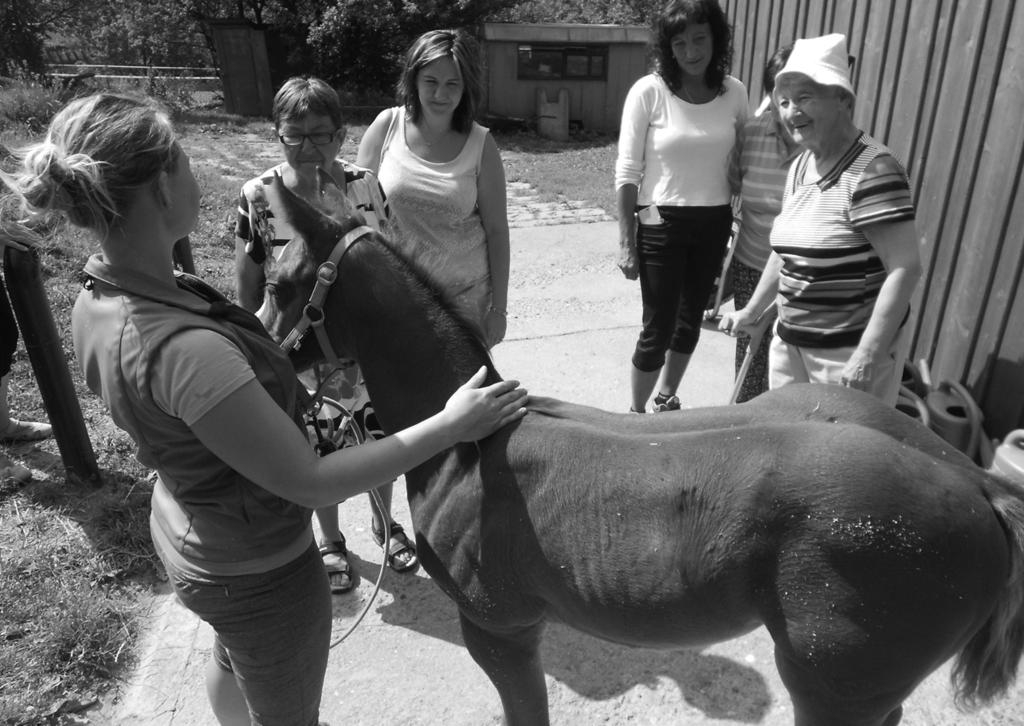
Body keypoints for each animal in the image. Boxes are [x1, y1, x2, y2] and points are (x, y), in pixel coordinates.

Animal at [253, 174, 1024, 724]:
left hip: (831, 688)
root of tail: (978, 485)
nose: (268, 364)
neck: (467, 443)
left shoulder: (501, 630)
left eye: (281, 283)